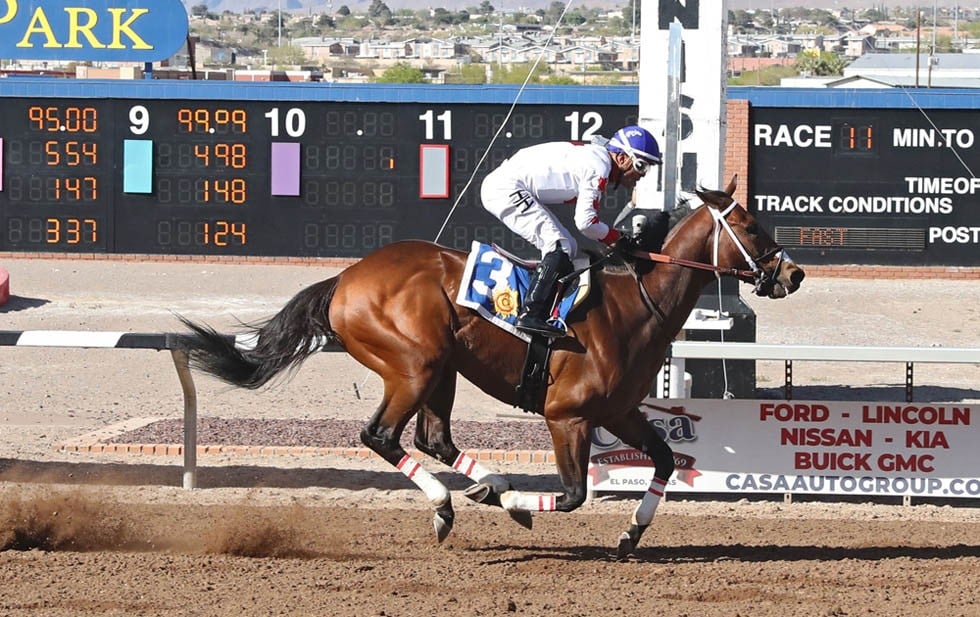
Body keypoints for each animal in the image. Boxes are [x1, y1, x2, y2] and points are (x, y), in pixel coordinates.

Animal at [178, 176, 805, 558]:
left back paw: (484, 487)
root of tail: (347, 277)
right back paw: (453, 504)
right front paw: (522, 508)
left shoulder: (618, 412)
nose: (793, 274)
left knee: (432, 438)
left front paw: (631, 532)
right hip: (414, 366)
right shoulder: (567, 416)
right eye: (751, 227)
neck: (635, 303)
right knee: (380, 435)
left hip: (442, 370)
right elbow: (573, 494)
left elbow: (667, 459)